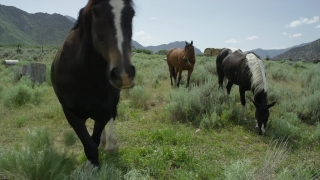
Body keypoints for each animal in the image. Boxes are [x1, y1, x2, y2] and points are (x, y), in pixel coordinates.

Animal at [50, 0, 136, 167]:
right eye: (96, 12)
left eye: (132, 13)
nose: (123, 74)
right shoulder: (70, 113)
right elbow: (90, 145)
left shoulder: (104, 110)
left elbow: (94, 141)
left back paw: (110, 145)